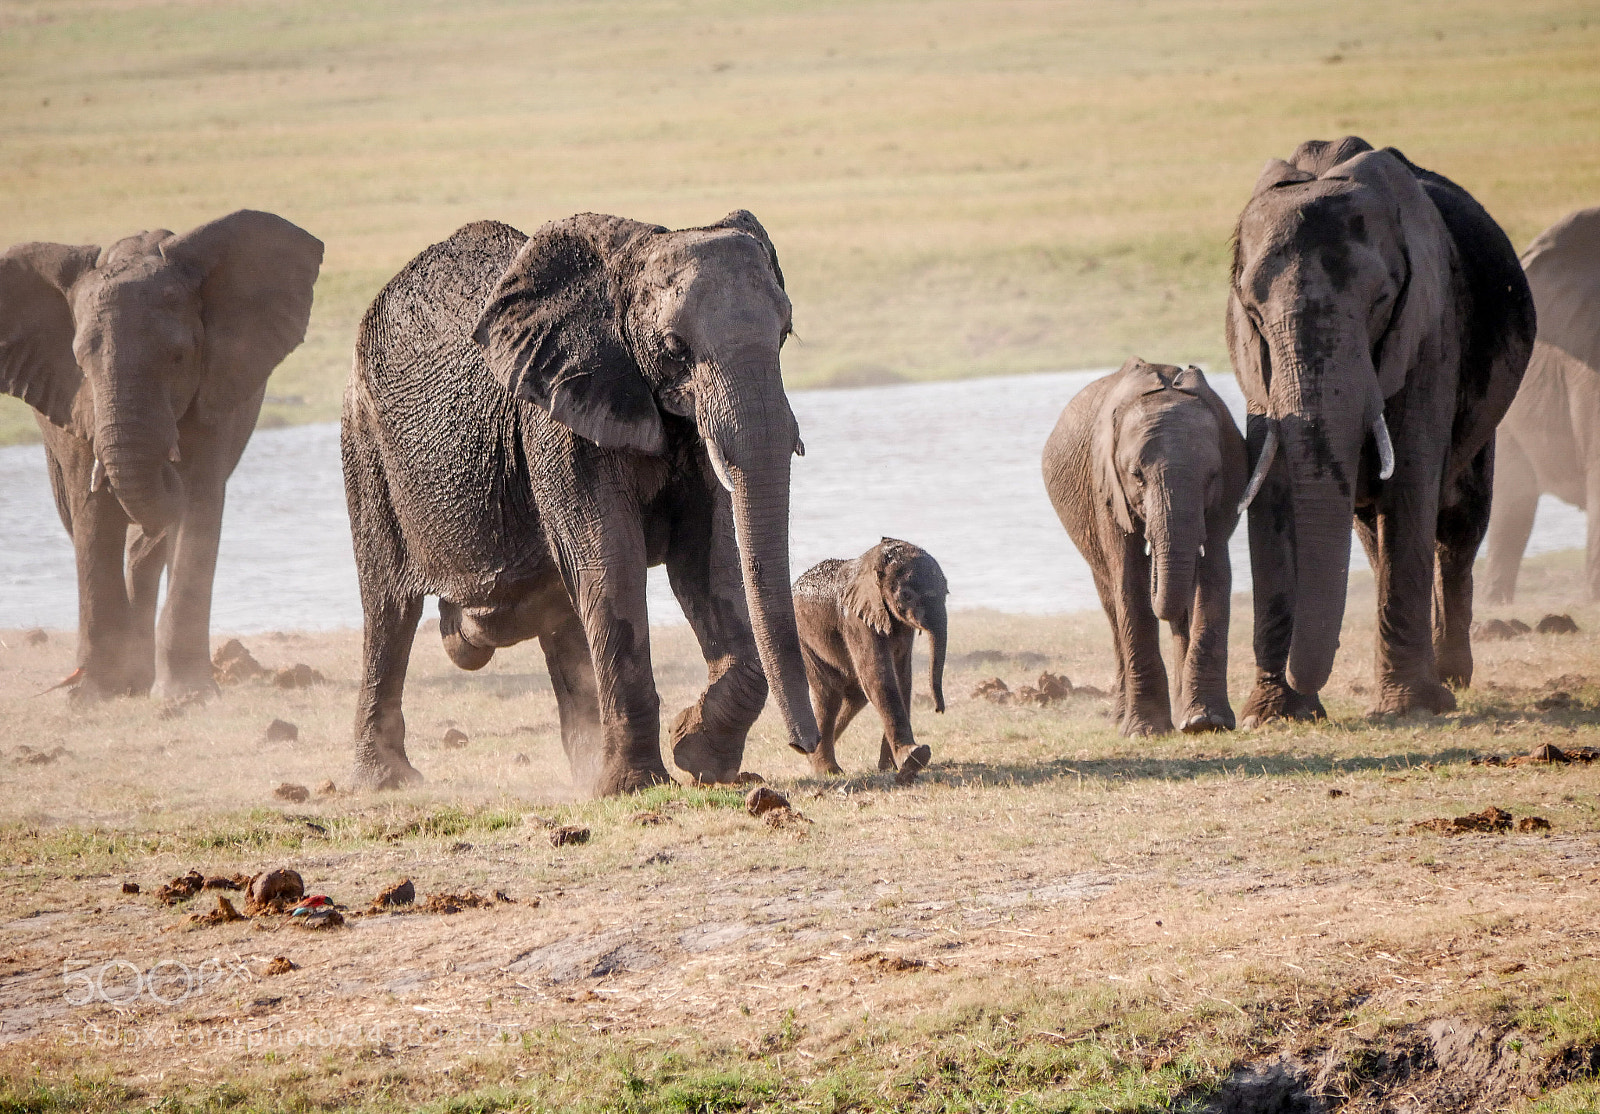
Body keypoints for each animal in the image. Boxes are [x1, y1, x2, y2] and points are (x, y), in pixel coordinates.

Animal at [0, 211, 323, 701]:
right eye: (81, 362)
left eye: (179, 357)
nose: (166, 463)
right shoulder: (74, 406)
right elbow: (92, 511)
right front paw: (93, 694)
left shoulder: (217, 387)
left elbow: (200, 501)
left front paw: (187, 696)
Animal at [341, 211, 820, 795]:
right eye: (674, 347)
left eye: (784, 334)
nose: (805, 746)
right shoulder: (557, 422)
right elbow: (613, 564)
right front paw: (636, 786)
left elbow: (705, 562)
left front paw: (696, 753)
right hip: (365, 447)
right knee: (388, 608)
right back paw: (387, 779)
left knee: (558, 612)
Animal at [792, 538, 947, 779]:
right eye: (906, 596)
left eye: (947, 591)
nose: (939, 709)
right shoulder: (856, 620)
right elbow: (879, 676)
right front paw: (914, 758)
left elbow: (902, 680)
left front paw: (891, 767)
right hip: (804, 639)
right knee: (829, 695)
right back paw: (827, 770)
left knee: (854, 694)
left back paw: (809, 754)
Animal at [1042, 358, 1247, 736]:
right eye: (1136, 475)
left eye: (1212, 476)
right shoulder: (1106, 490)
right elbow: (1130, 581)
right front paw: (1145, 730)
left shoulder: (1228, 490)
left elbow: (1215, 575)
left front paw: (1205, 722)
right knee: (1112, 607)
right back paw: (1122, 719)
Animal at [1228, 137, 1535, 723]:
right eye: (1253, 311)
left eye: (1381, 302)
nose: (1309, 692)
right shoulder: (1253, 364)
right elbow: (1272, 491)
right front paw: (1272, 715)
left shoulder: (1431, 330)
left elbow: (1411, 482)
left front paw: (1411, 708)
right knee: (1374, 531)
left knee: (1459, 524)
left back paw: (1451, 678)